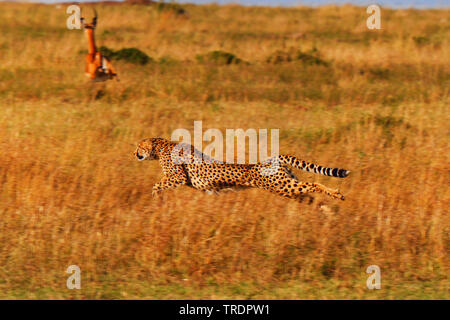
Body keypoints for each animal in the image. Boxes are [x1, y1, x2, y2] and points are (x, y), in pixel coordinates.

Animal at [135, 137, 350, 201]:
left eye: (139, 146)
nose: (134, 153)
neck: (160, 145)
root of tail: (272, 158)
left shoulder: (177, 177)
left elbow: (157, 184)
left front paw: (155, 197)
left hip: (282, 186)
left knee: (314, 184)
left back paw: (337, 195)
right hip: (287, 186)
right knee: (308, 196)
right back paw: (326, 211)